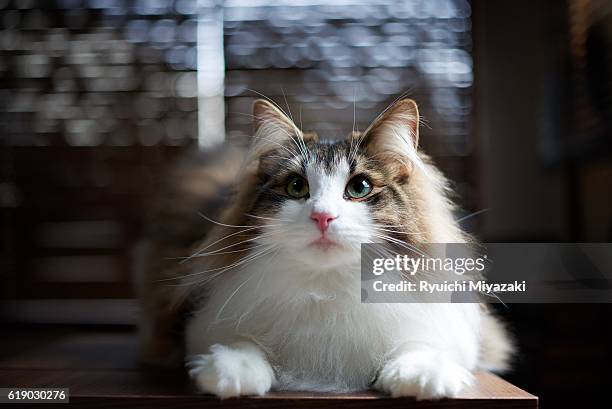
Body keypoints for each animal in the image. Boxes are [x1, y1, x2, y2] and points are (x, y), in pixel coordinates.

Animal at [134, 96, 512, 398]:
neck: (328, 288)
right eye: (296, 187)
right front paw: (233, 370)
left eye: (359, 187)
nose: (322, 217)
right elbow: (241, 341)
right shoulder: (192, 320)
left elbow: (420, 344)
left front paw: (421, 375)